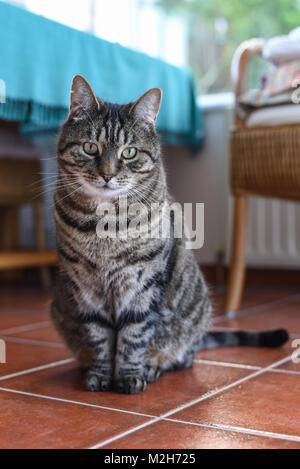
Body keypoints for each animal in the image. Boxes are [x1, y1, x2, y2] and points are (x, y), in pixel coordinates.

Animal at [51, 75, 288, 394]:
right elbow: (98, 335)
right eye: (90, 147)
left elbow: (134, 335)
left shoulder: (144, 281)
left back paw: (154, 366)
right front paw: (100, 373)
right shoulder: (84, 285)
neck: (105, 225)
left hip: (193, 319)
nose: (107, 175)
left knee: (184, 357)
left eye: (129, 152)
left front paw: (128, 375)